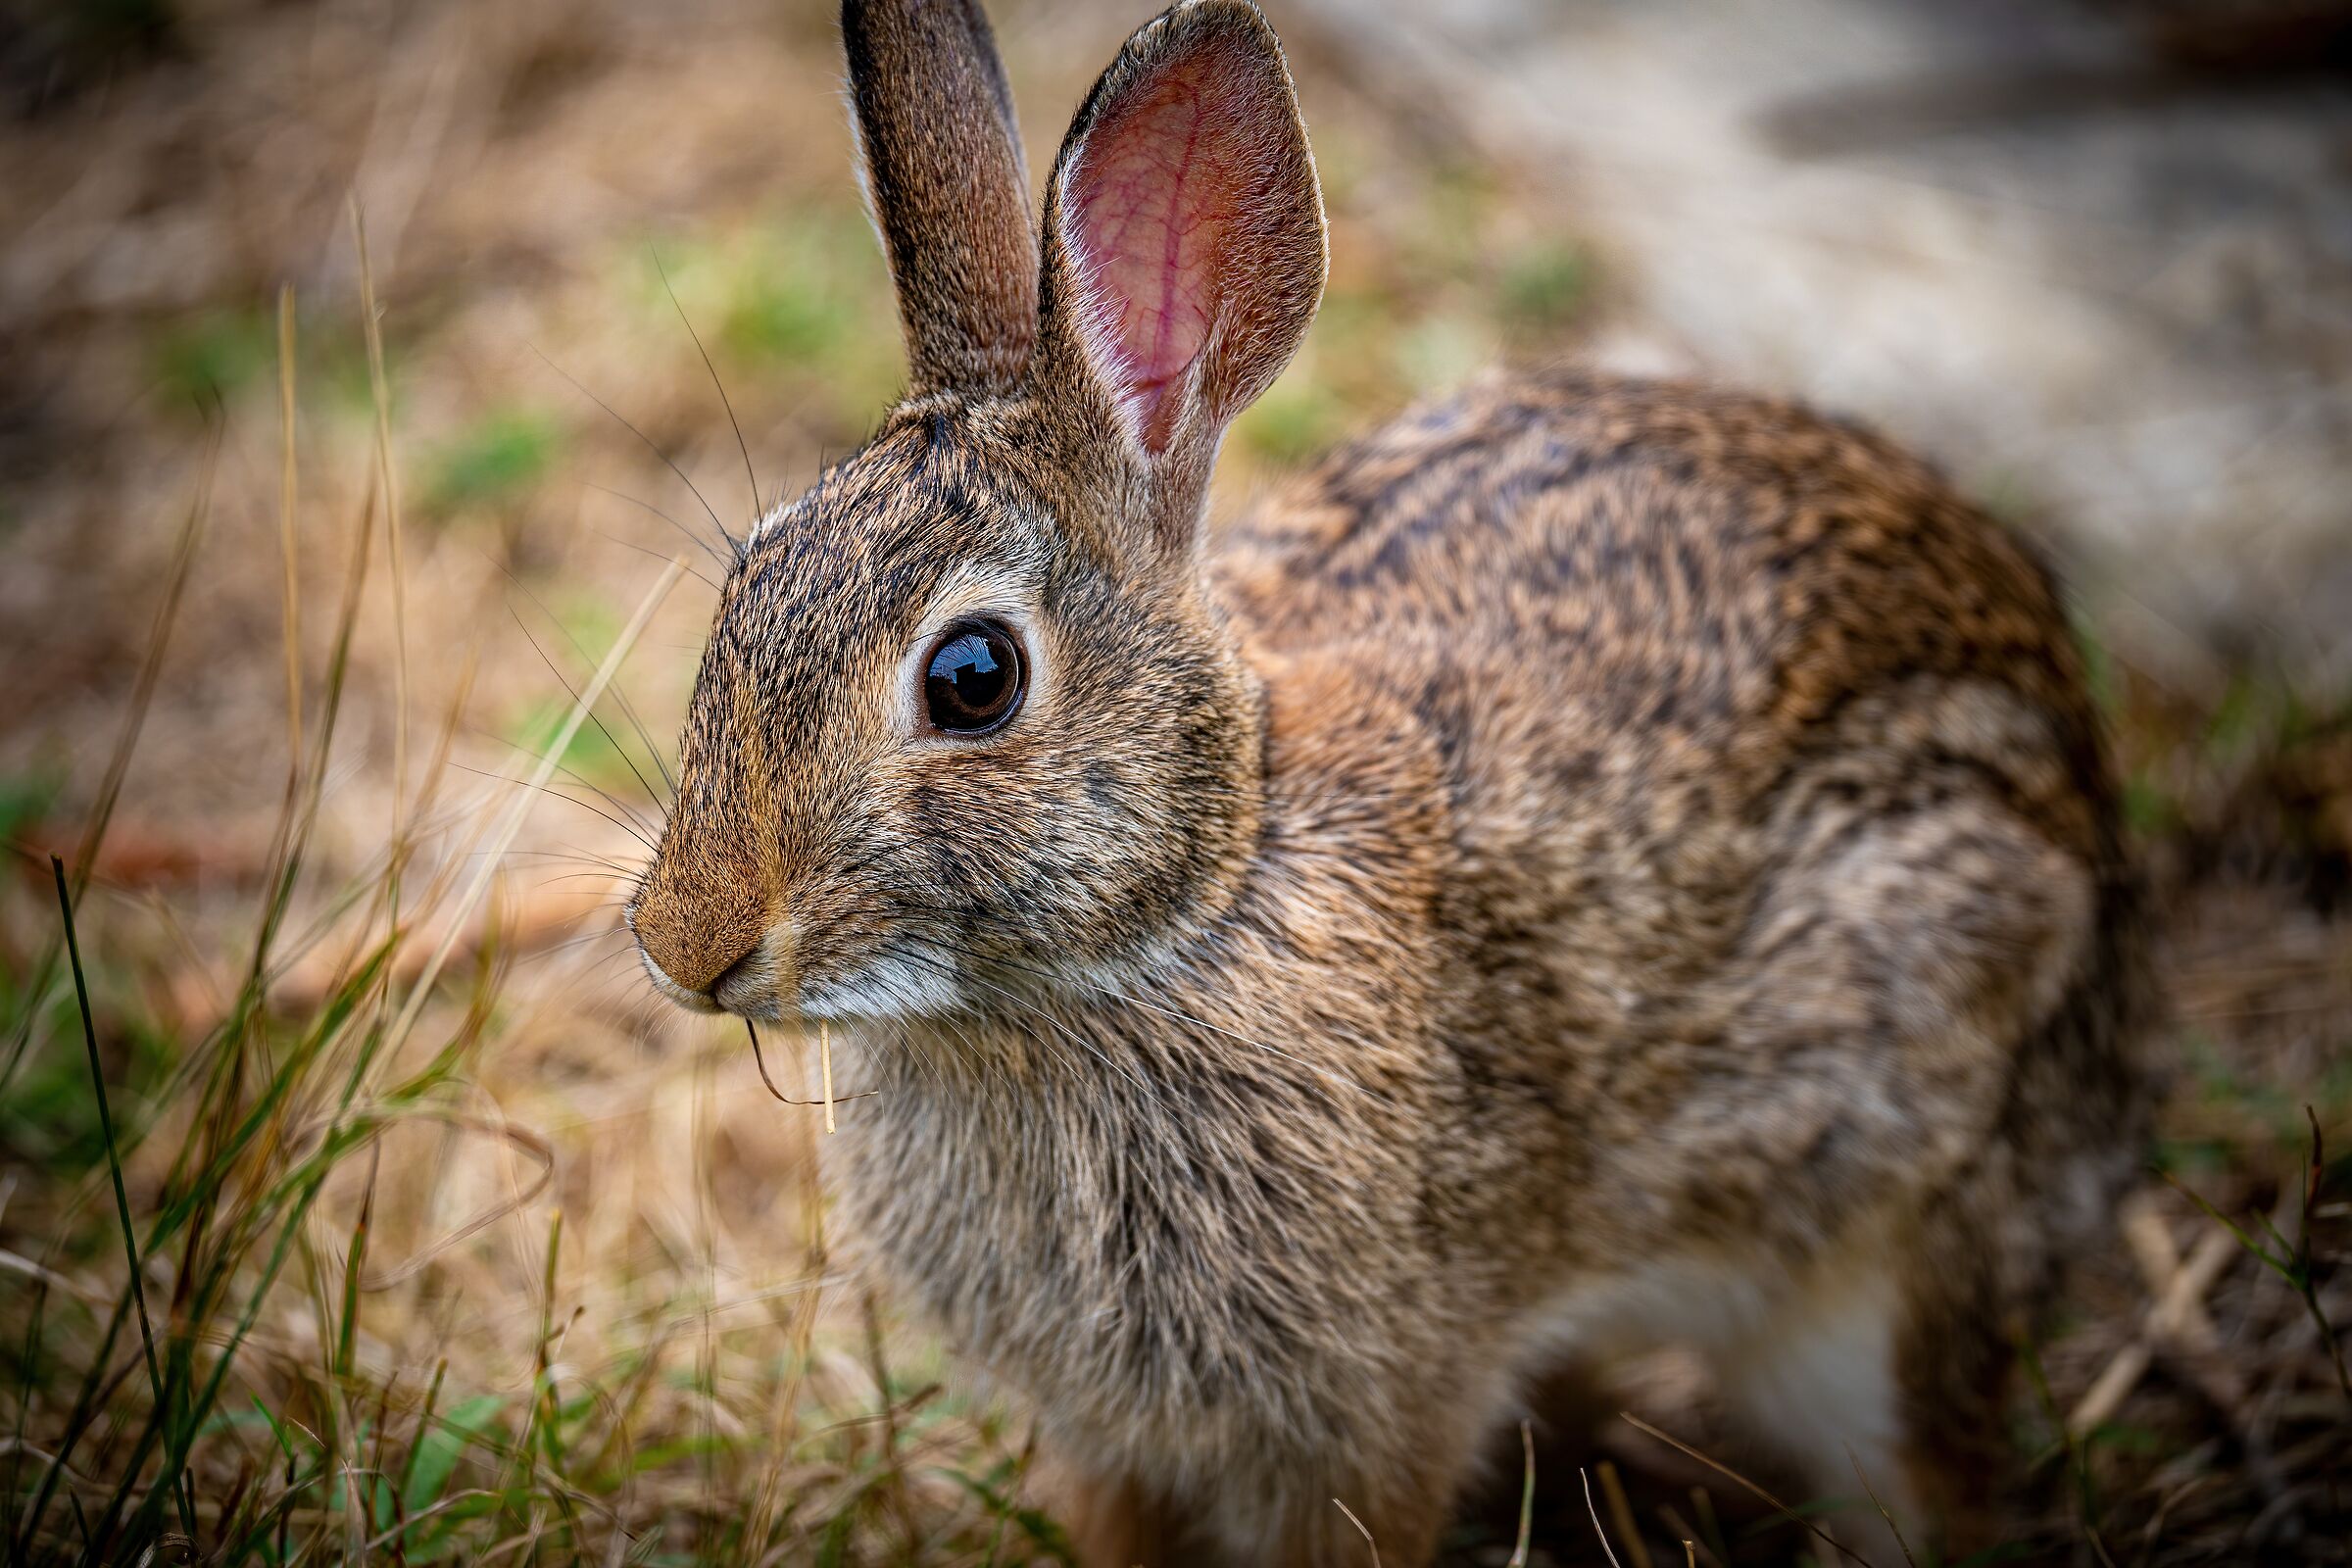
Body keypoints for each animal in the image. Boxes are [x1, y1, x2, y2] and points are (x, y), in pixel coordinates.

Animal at [625, 0, 2152, 1562]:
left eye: (973, 677)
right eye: (750, 572)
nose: (685, 944)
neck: (1200, 905)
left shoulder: (1375, 1414)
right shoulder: (1112, 1439)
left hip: (1895, 1239)